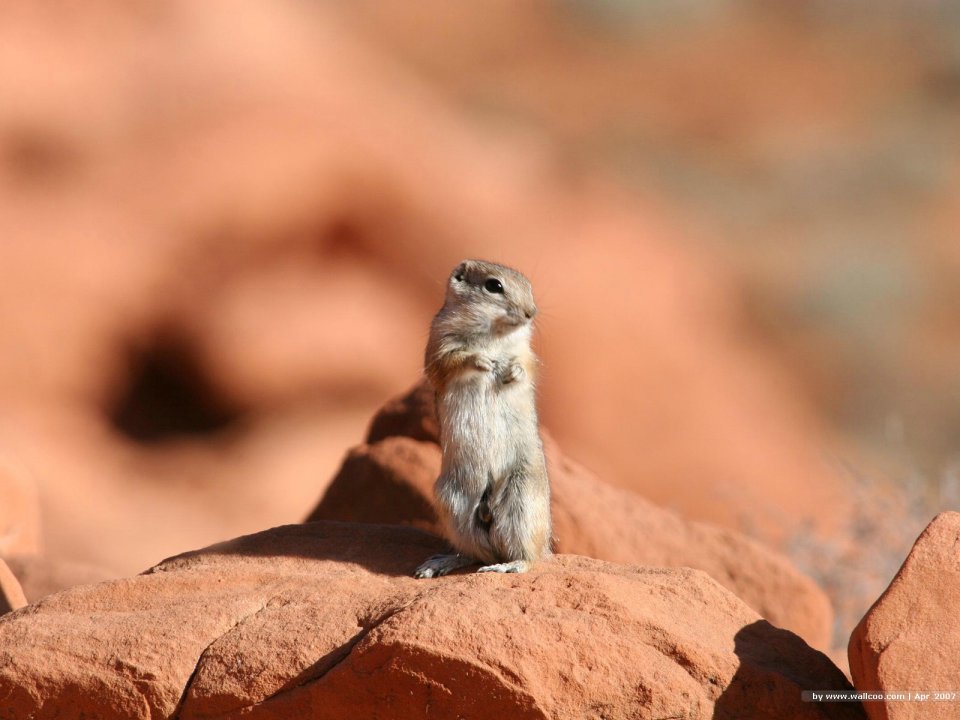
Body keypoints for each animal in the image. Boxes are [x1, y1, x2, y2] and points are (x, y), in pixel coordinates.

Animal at [415, 259, 551, 578]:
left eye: (528, 285)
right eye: (494, 285)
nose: (531, 312)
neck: (495, 334)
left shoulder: (527, 353)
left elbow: (527, 367)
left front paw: (511, 371)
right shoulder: (439, 344)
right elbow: (453, 360)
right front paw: (482, 361)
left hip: (522, 499)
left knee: (529, 557)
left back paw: (507, 565)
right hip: (453, 502)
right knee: (475, 553)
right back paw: (438, 564)